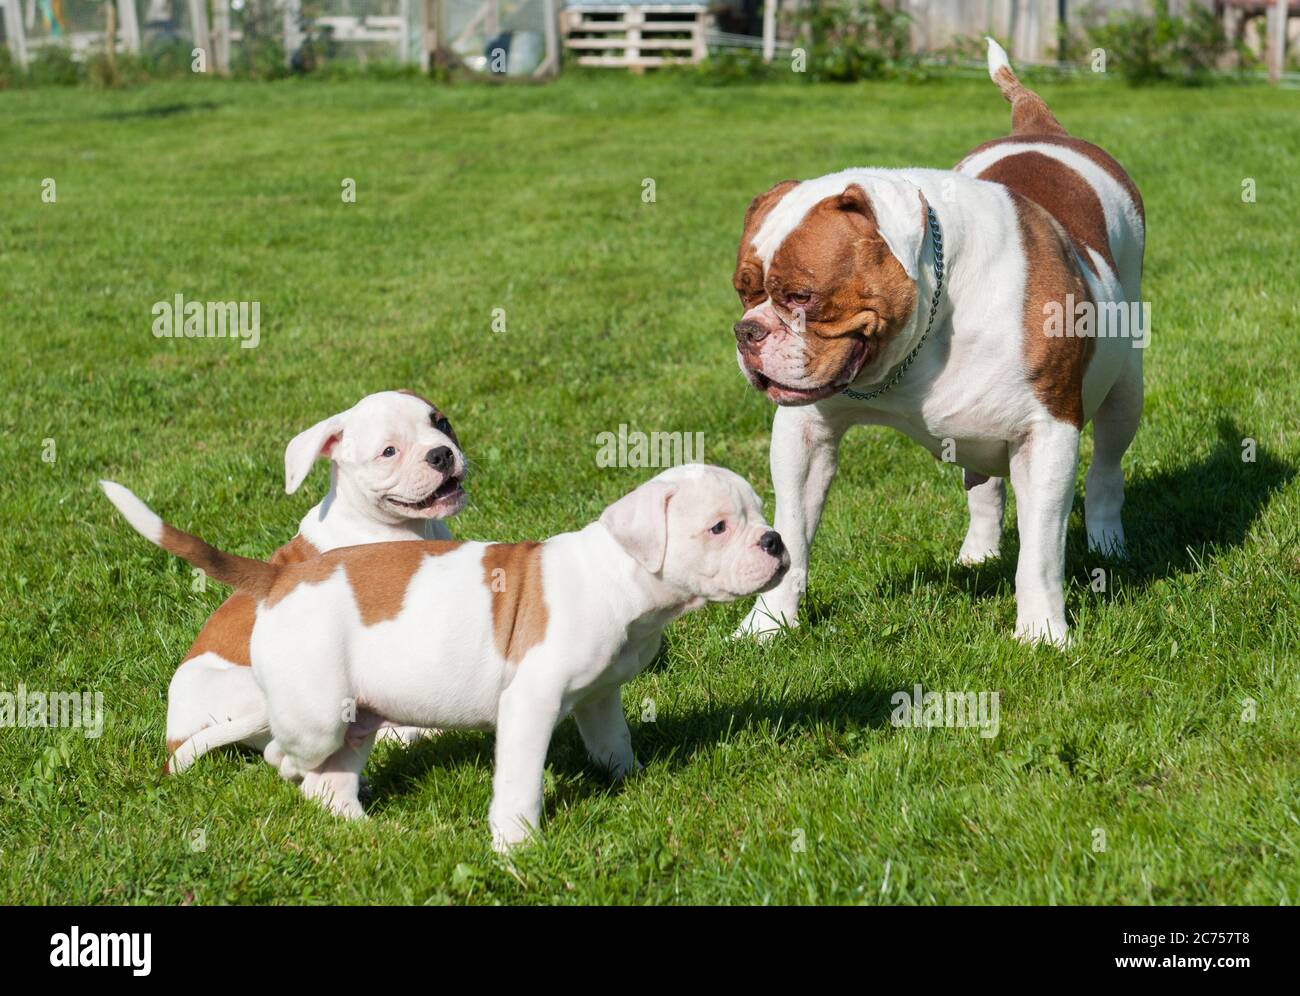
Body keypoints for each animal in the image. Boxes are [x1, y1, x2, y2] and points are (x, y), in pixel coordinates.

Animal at [101, 465, 785, 852]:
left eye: (760, 514)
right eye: (719, 528)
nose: (776, 542)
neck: (619, 573)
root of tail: (278, 577)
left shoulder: (599, 696)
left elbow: (612, 742)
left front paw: (633, 780)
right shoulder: (531, 703)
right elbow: (519, 782)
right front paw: (516, 845)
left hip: (356, 716)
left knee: (328, 784)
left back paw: (371, 831)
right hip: (317, 712)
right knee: (282, 756)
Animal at [733, 37, 1149, 647]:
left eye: (802, 297)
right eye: (744, 292)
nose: (747, 332)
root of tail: (1040, 128)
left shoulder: (1047, 434)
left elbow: (1041, 553)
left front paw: (1043, 633)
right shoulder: (804, 436)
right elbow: (791, 533)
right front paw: (768, 623)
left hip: (1125, 391)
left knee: (1106, 471)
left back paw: (1108, 541)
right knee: (983, 485)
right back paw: (978, 553)